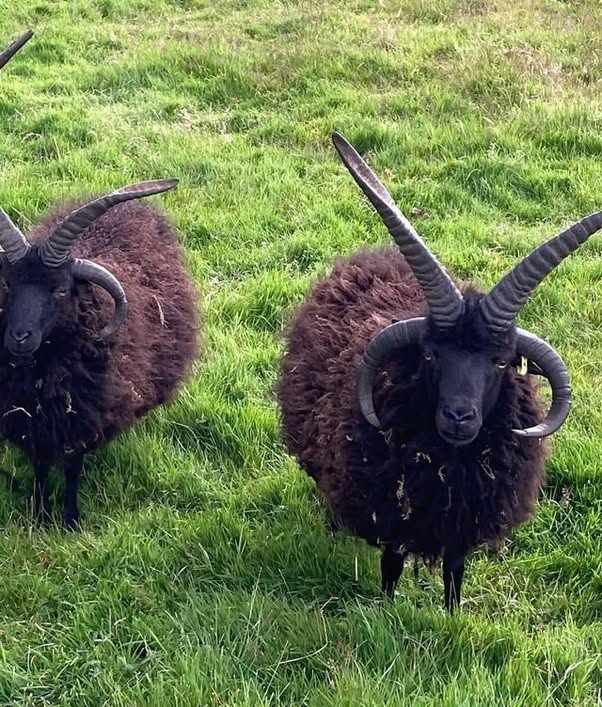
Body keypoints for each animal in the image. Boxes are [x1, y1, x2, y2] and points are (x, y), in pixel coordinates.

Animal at [0, 179, 198, 529]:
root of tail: (136, 209)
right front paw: (40, 515)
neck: (44, 372)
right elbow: (40, 466)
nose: (19, 337)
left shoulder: (81, 417)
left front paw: (69, 521)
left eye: (60, 290)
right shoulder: (31, 419)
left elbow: (71, 467)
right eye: (7, 284)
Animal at [278, 132, 602, 612]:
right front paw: (387, 611)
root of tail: (374, 255)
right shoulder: (394, 511)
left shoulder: (461, 522)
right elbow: (391, 566)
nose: (458, 417)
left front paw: (451, 614)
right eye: (431, 355)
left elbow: (454, 572)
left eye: (500, 361)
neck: (450, 461)